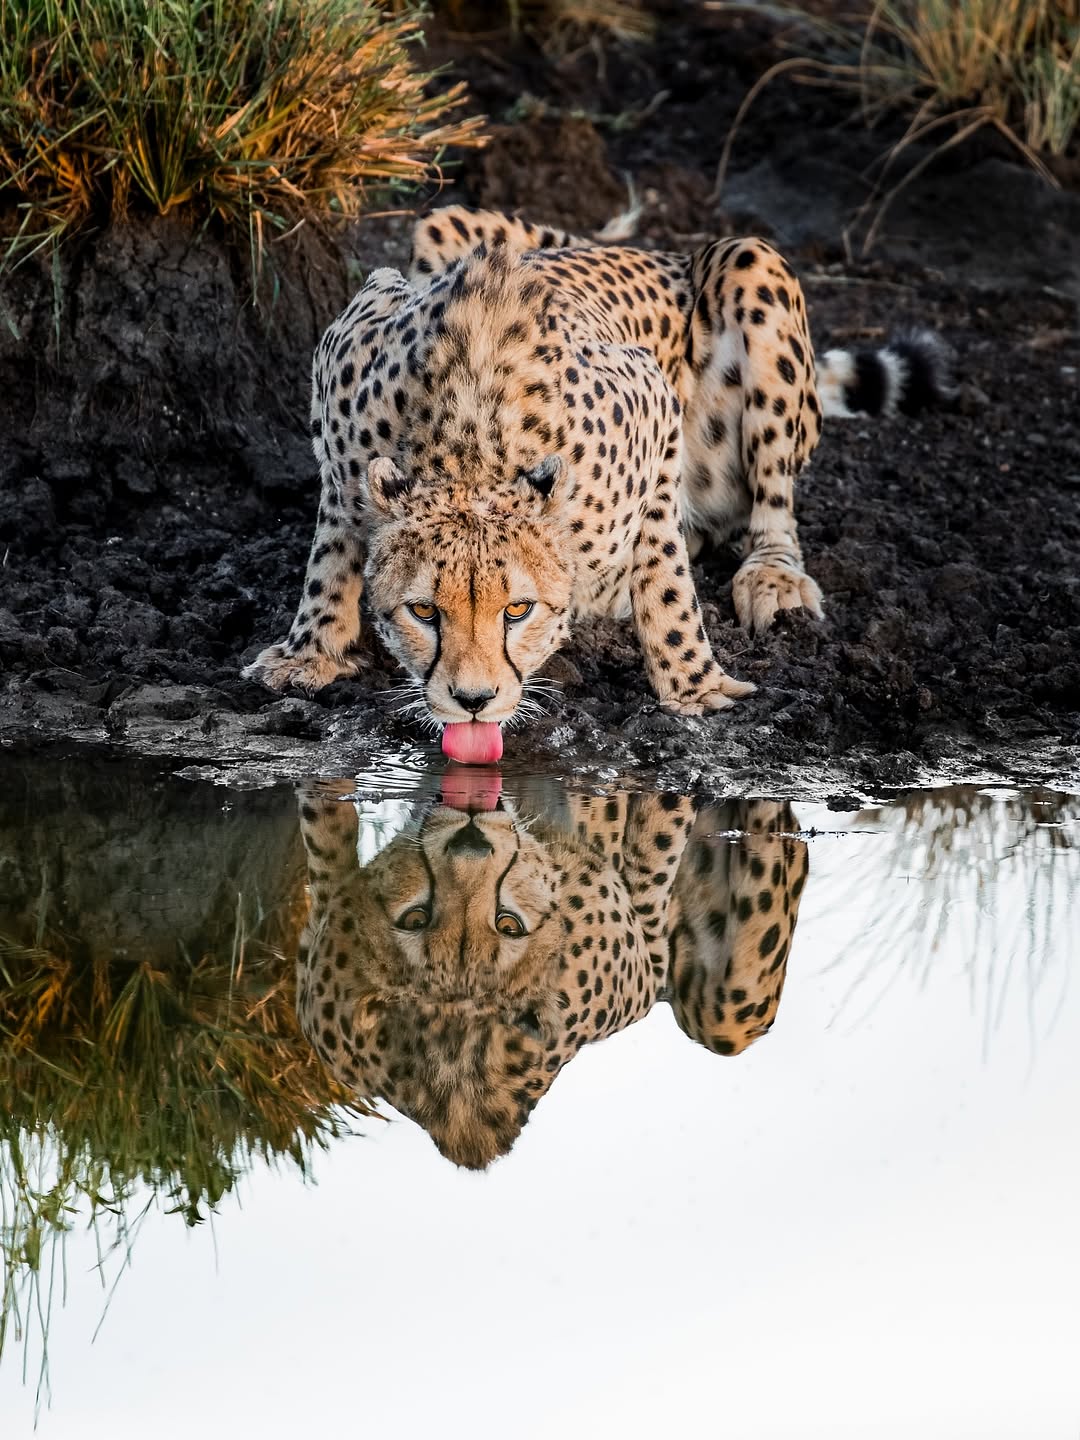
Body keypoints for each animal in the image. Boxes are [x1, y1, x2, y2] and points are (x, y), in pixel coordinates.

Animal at [244, 205, 947, 734]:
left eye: (518, 611)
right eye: (422, 612)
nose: (473, 701)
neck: (467, 445)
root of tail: (656, 253)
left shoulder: (654, 402)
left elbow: (666, 578)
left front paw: (695, 685)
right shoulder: (344, 373)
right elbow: (331, 547)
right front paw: (311, 651)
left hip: (751, 262)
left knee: (771, 503)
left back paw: (771, 576)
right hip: (439, 224)